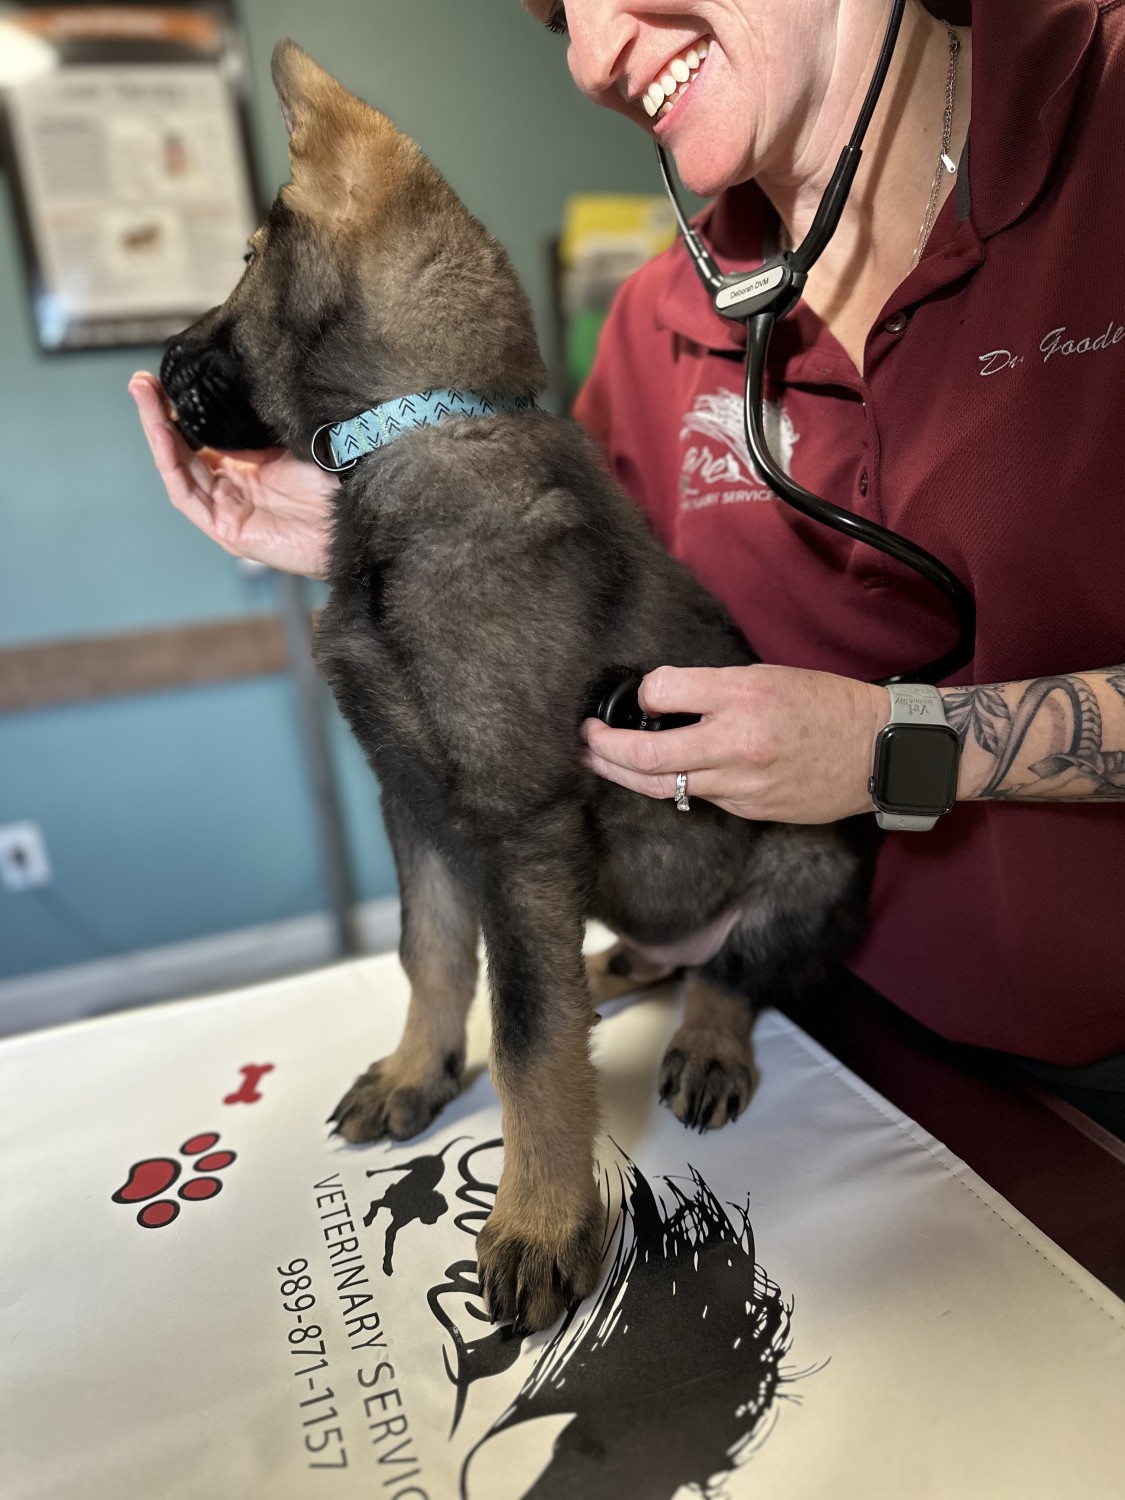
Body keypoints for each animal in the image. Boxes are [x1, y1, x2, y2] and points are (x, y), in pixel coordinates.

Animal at [160, 43, 870, 1338]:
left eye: (243, 257)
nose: (162, 366)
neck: (417, 430)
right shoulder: (413, 801)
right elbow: (434, 955)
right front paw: (417, 1074)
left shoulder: (518, 828)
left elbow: (536, 1035)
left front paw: (540, 1222)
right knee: (670, 958)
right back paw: (626, 966)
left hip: (815, 859)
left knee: (734, 973)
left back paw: (706, 1041)